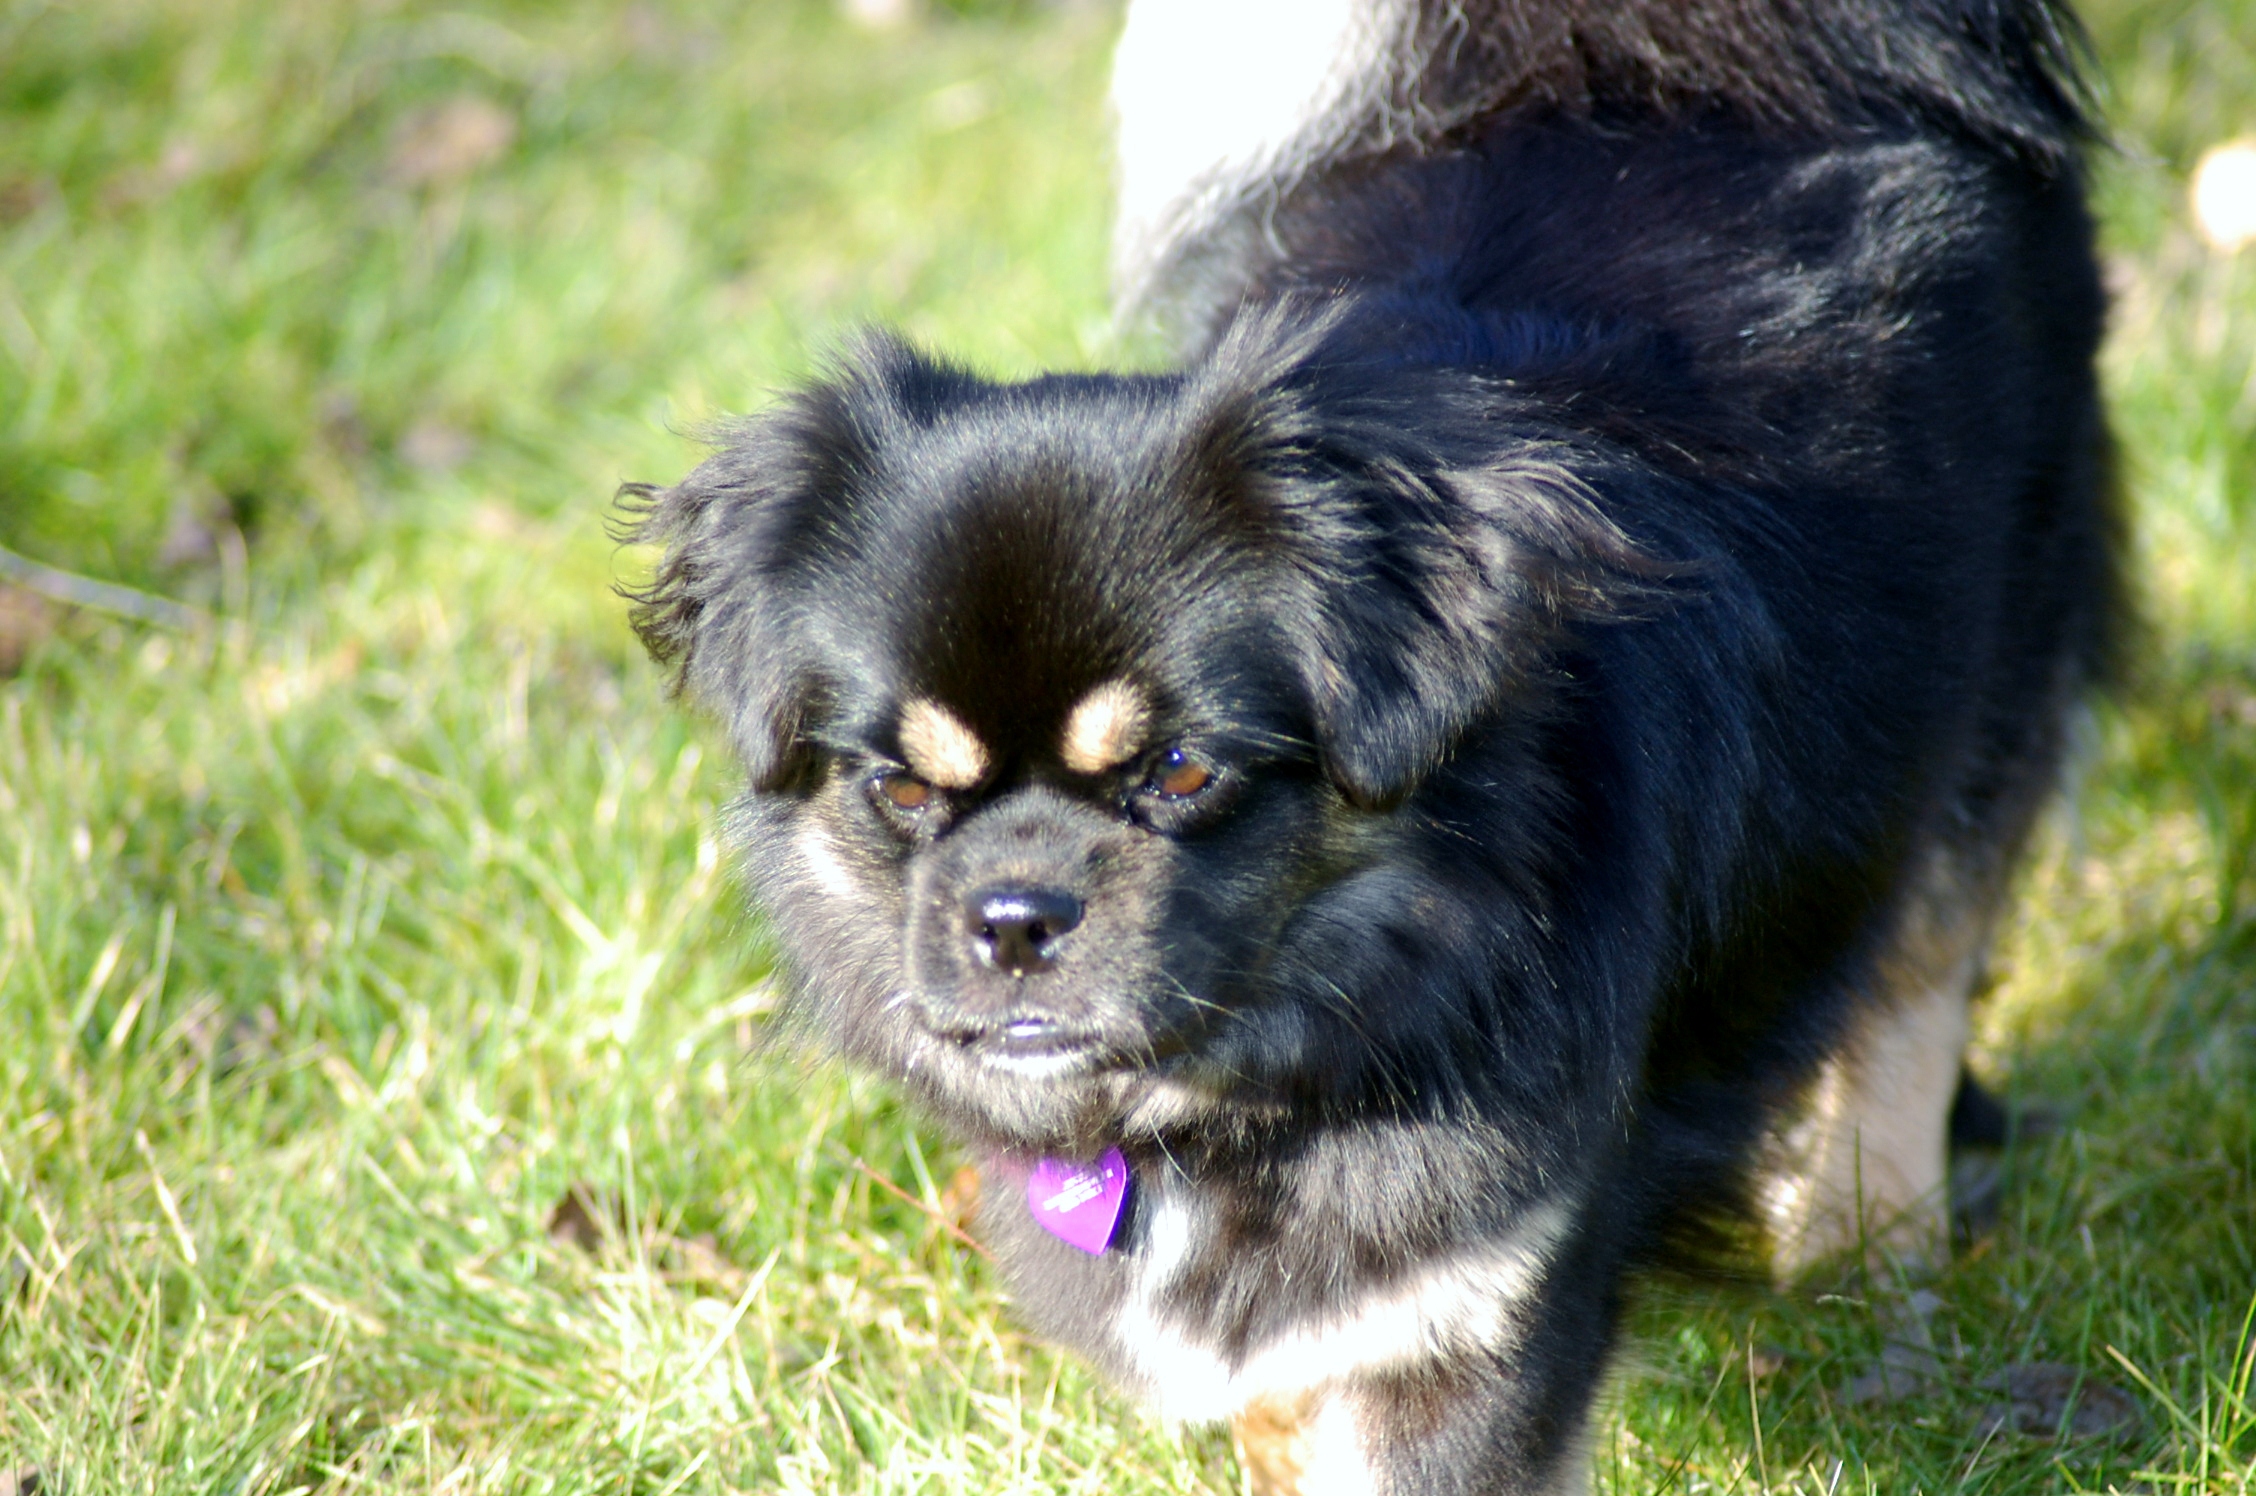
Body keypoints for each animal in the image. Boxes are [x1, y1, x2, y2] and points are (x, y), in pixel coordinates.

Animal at [621, 1, 2119, 1490]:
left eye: (1180, 772)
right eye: (899, 785)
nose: (1014, 914)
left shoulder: (1463, 1320)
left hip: (1983, 698)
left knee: (1915, 978)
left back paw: (1865, 1256)